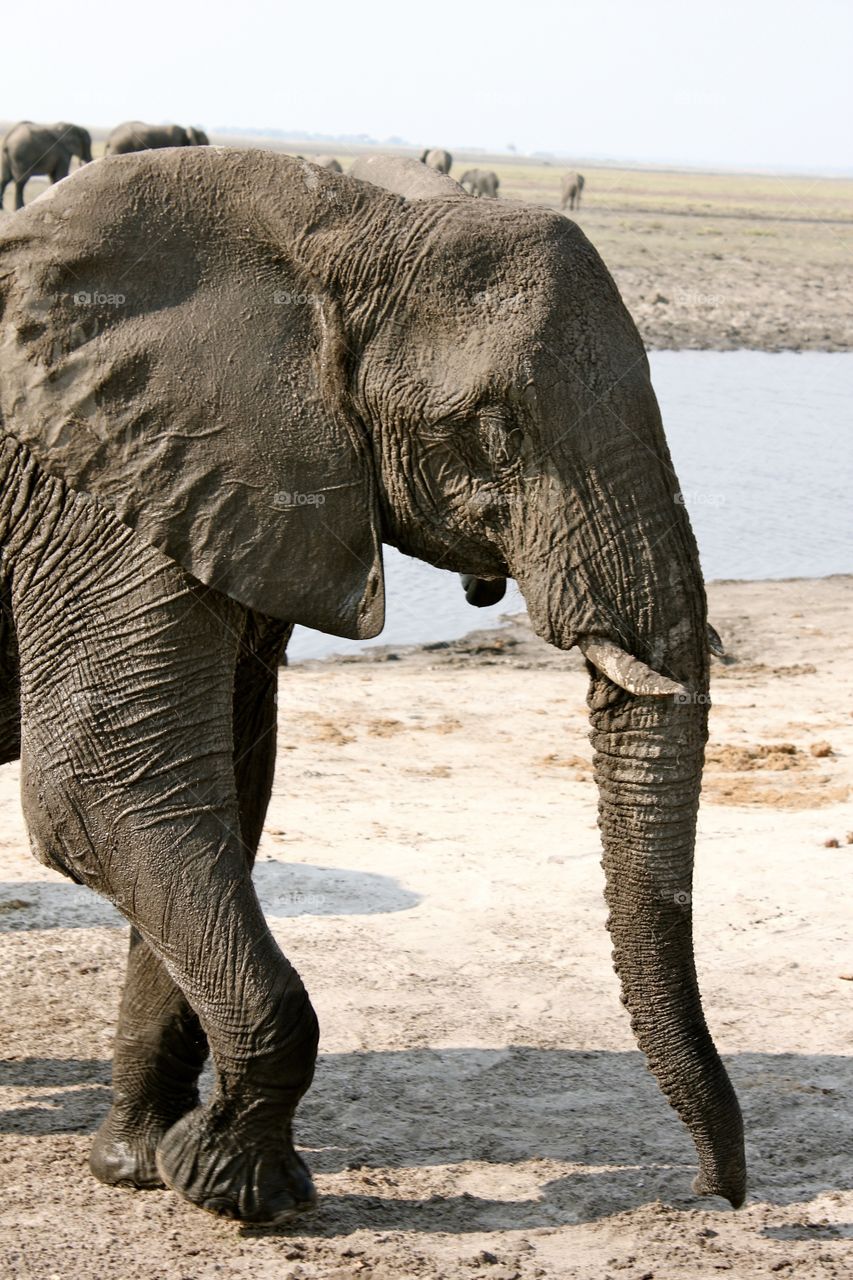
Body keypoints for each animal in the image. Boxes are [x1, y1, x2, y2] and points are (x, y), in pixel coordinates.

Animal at [0, 145, 742, 1223]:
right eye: (493, 430)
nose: (712, 1191)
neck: (348, 218)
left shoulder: (228, 494)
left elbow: (216, 798)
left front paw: (143, 1166)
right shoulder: (102, 497)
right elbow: (101, 794)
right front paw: (243, 1191)